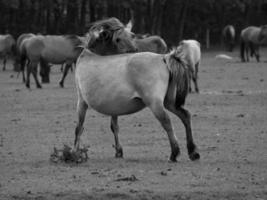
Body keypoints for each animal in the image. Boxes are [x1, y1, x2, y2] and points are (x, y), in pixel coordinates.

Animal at [73, 47, 201, 162]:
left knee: (167, 122)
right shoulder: (114, 109)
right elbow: (114, 127)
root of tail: (163, 58)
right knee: (185, 116)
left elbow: (79, 127)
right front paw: (118, 151)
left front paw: (74, 152)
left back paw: (174, 154)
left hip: (155, 104)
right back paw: (193, 152)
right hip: (169, 103)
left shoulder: (81, 102)